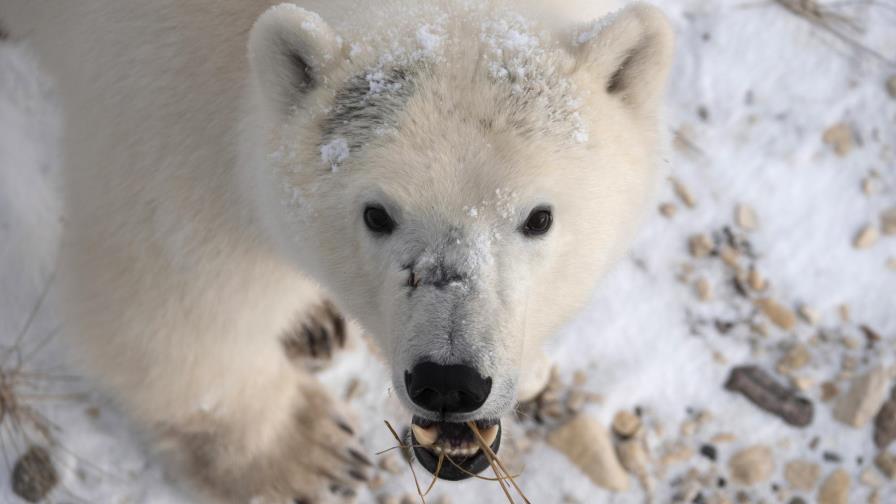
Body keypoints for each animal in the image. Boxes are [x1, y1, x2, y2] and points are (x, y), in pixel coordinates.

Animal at [2, 0, 674, 501]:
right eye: (377, 214)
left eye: (539, 217)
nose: (449, 382)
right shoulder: (163, 103)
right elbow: (171, 295)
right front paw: (308, 452)